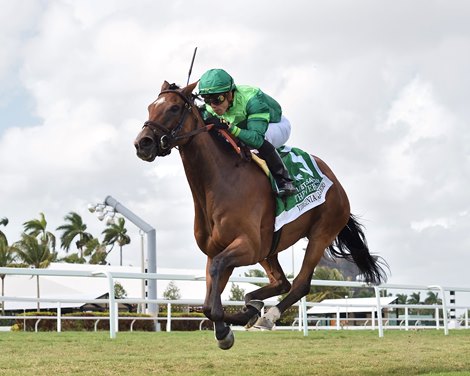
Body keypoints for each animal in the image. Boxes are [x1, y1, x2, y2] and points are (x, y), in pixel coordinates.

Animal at [134, 79, 388, 350]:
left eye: (173, 108)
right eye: (150, 107)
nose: (142, 143)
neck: (219, 183)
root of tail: (337, 183)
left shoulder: (247, 246)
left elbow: (214, 292)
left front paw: (227, 328)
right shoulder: (216, 251)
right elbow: (207, 301)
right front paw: (232, 323)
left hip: (320, 234)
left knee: (300, 284)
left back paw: (268, 316)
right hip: (269, 249)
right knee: (282, 282)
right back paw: (252, 304)